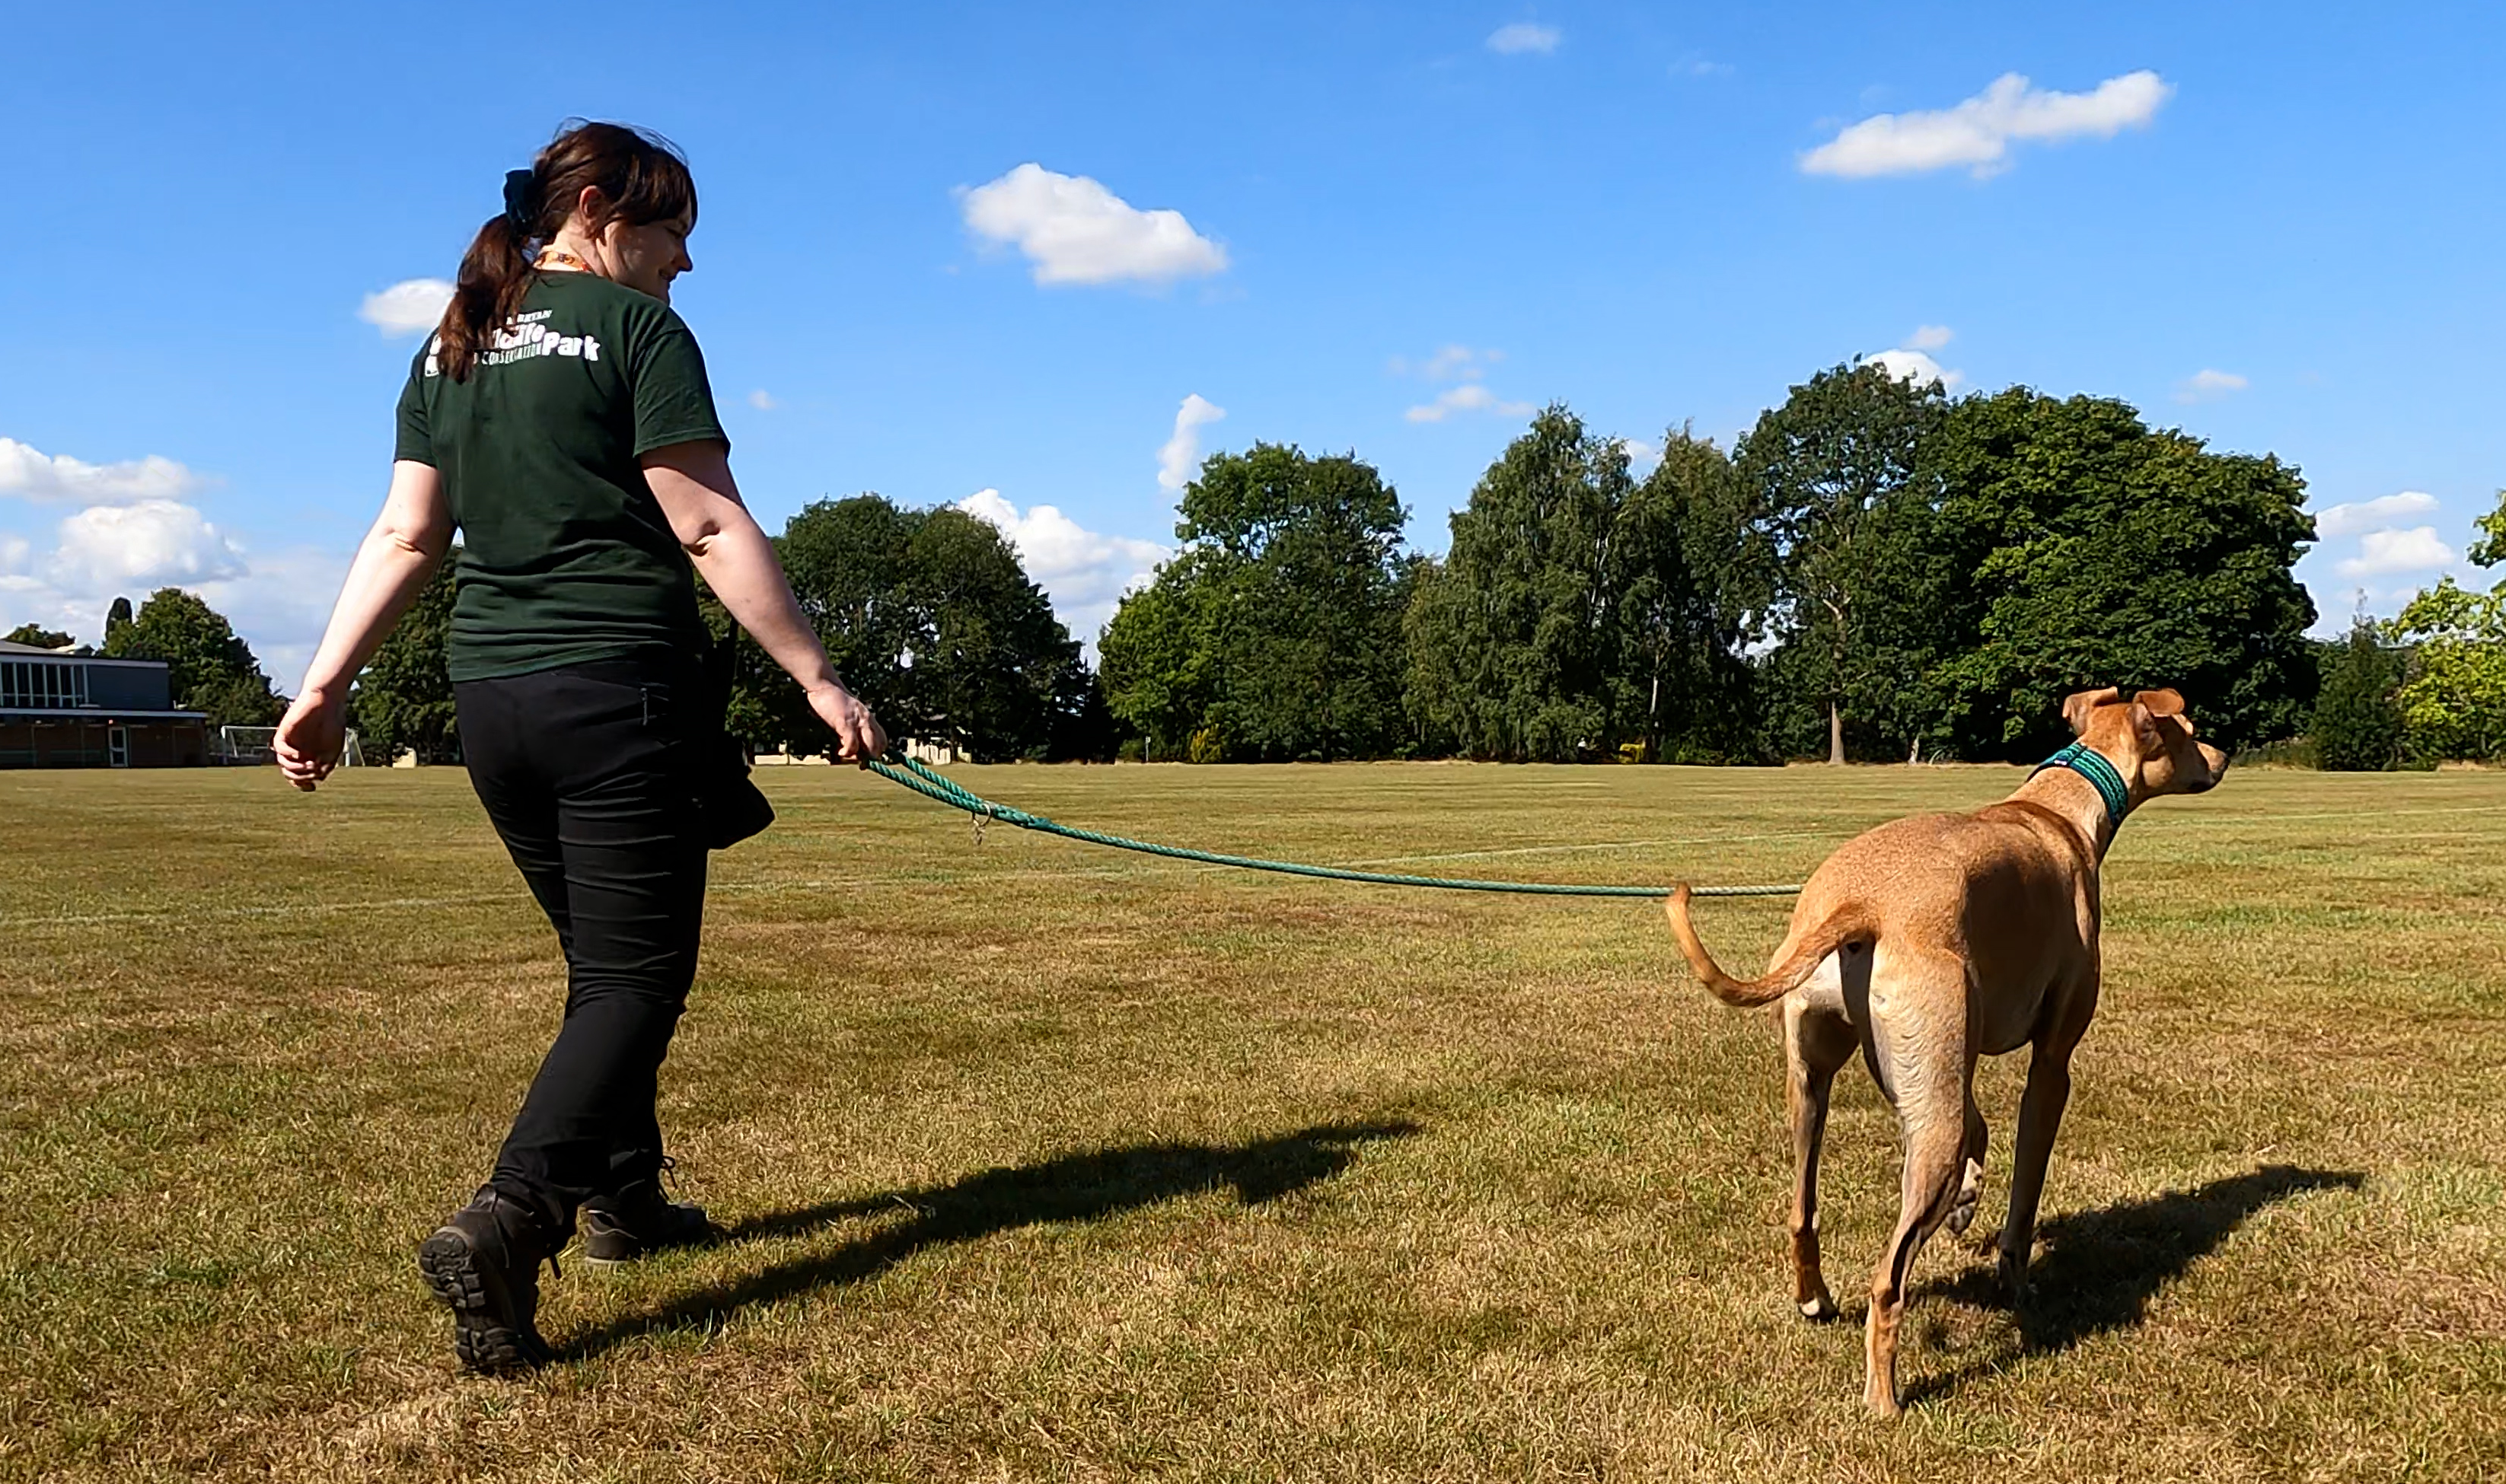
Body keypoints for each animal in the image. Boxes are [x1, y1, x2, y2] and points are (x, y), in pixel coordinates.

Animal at [1674, 681, 2225, 1413]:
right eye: (2190, 728)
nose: (2224, 756)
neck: (2058, 808)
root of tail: (1859, 902)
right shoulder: (2051, 1065)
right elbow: (2025, 1191)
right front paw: (2014, 1279)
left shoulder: (1934, 1062)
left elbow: (1982, 1130)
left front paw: (1968, 1201)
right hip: (1926, 1117)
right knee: (1888, 1282)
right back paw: (1884, 1400)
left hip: (1822, 1085)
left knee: (1802, 1210)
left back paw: (1817, 1298)